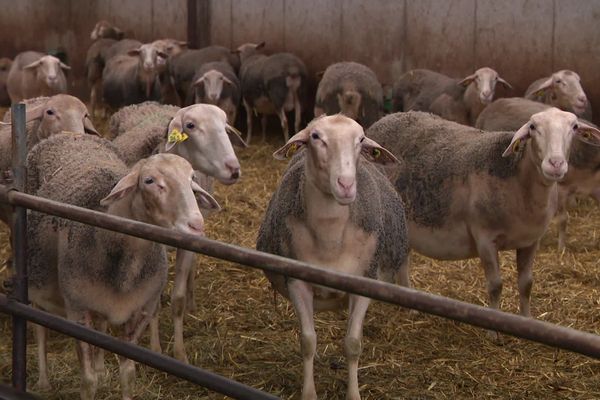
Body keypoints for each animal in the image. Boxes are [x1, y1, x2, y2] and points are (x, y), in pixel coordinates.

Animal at [26, 133, 218, 396]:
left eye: (191, 179)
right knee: (39, 327)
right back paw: (43, 380)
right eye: (149, 181)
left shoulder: (140, 310)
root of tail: (67, 134)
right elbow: (88, 381)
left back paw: (100, 367)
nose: (196, 225)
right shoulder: (77, 311)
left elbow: (128, 374)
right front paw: (91, 379)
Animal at [255, 114, 410, 398]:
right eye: (316, 137)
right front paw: (309, 393)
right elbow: (307, 341)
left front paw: (353, 393)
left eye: (361, 139)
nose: (346, 185)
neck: (330, 239)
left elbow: (353, 344)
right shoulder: (297, 282)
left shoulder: (365, 282)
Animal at [366, 109, 600, 334]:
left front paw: (527, 322)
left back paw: (408, 304)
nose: (556, 164)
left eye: (574, 127)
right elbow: (495, 285)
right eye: (533, 127)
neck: (519, 181)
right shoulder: (485, 238)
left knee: (402, 262)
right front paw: (493, 330)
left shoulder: (531, 241)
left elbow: (527, 284)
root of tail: (386, 118)